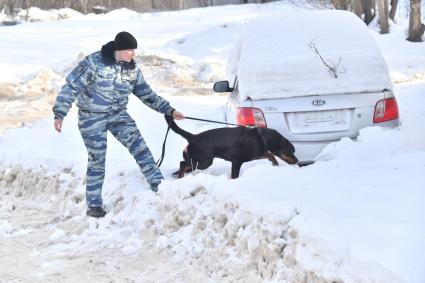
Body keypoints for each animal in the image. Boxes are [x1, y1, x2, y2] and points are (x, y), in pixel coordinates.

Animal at [164, 114, 296, 179]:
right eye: (291, 151)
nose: (297, 161)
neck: (261, 136)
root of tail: (193, 137)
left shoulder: (254, 155)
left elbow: (269, 154)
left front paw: (275, 163)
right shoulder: (237, 161)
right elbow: (234, 176)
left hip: (195, 160)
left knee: (182, 163)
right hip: (204, 162)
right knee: (183, 165)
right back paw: (180, 177)